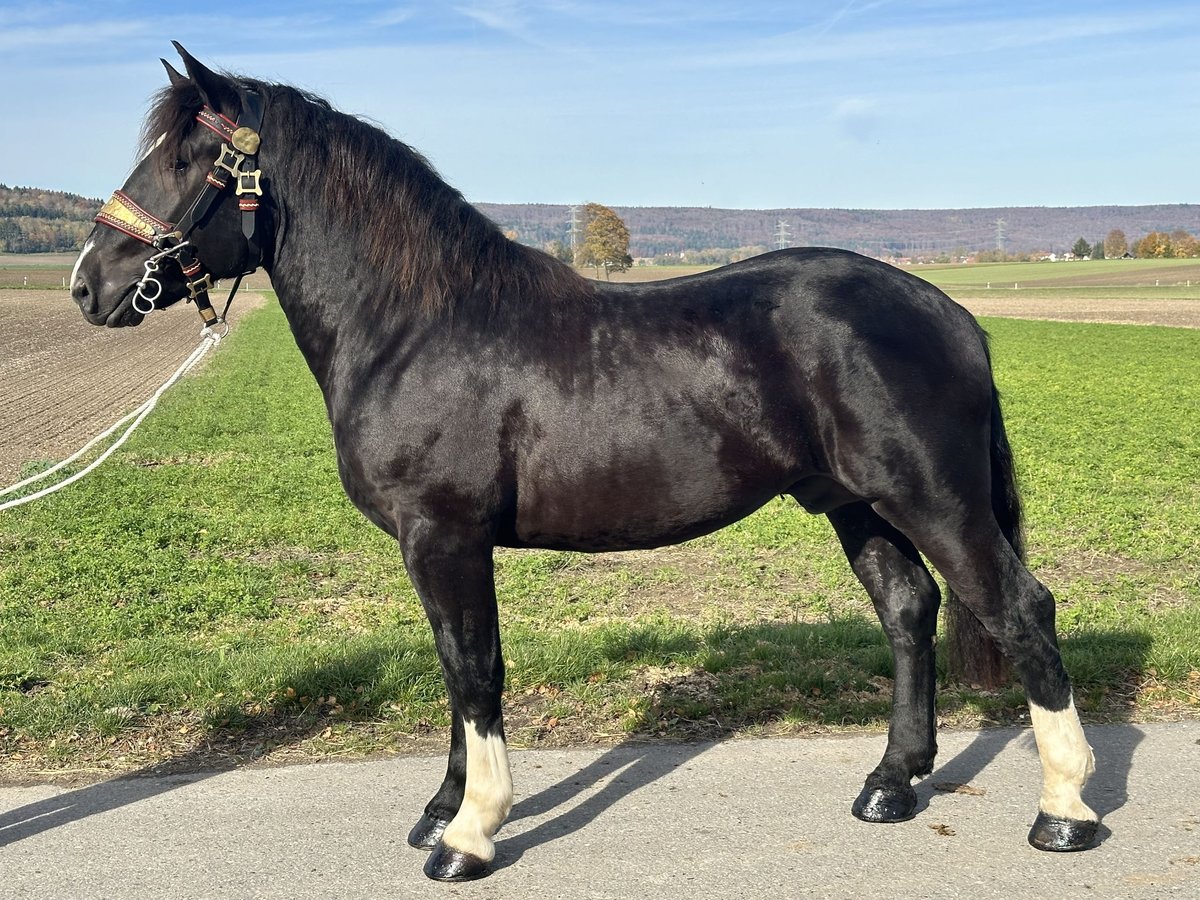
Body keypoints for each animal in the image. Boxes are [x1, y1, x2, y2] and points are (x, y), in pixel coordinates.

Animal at [70, 44, 1100, 881]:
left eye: (187, 159)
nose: (90, 285)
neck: (415, 326)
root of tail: (951, 315)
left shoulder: (443, 536)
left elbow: (475, 668)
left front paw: (469, 835)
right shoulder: (437, 546)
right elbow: (457, 666)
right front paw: (442, 809)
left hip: (934, 498)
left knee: (1020, 609)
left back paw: (1065, 812)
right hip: (856, 503)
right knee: (909, 609)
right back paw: (892, 784)